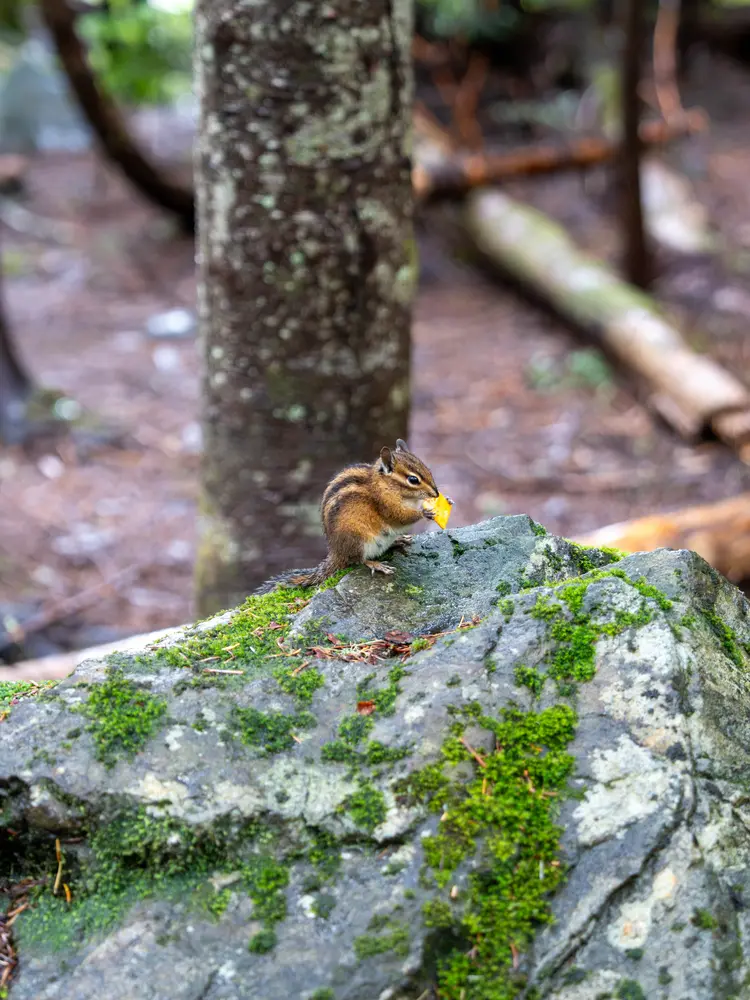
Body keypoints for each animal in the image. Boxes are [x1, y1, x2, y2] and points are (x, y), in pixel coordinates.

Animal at [254, 439, 443, 594]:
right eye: (413, 480)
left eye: (428, 470)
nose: (436, 493)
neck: (386, 485)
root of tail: (336, 552)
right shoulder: (385, 503)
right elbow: (399, 516)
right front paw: (425, 512)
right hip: (358, 539)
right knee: (358, 560)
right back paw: (377, 565)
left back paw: (397, 540)